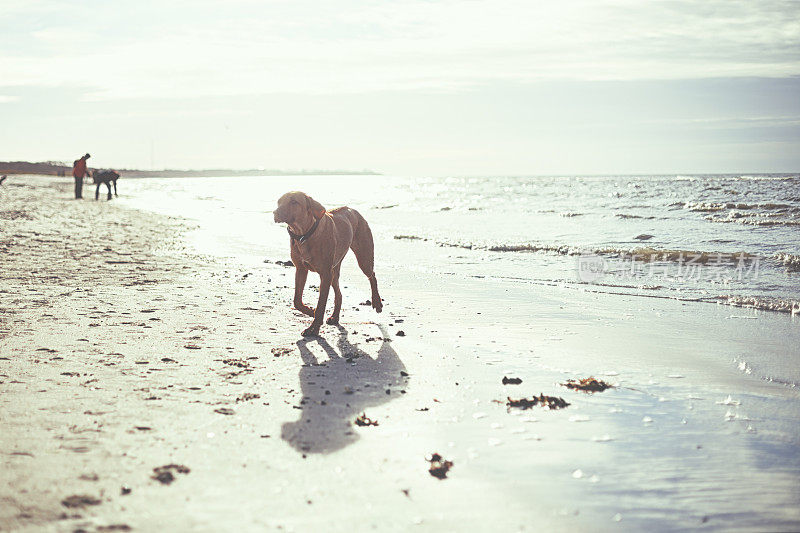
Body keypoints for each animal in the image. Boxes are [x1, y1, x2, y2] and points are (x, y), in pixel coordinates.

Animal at [274, 189, 382, 334]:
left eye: (294, 202)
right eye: (279, 202)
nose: (275, 212)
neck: (304, 234)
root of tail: (352, 209)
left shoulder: (325, 274)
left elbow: (321, 304)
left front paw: (313, 327)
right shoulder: (301, 270)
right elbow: (297, 301)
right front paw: (310, 311)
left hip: (364, 257)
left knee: (372, 276)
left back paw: (377, 302)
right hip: (334, 271)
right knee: (339, 294)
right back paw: (335, 316)